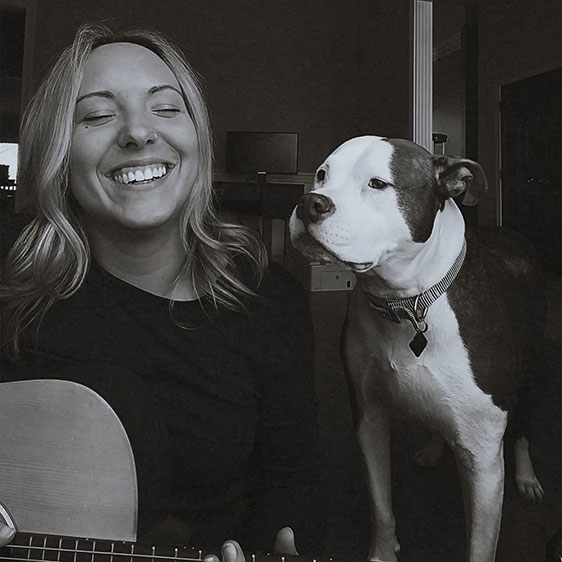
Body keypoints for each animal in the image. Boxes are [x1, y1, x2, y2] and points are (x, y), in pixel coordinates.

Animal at [288, 137, 544, 560]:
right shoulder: (369, 418)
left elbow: (480, 544)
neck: (407, 303)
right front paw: (382, 552)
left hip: (532, 377)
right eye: (322, 174)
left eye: (378, 184)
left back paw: (527, 476)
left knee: (523, 429)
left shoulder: (483, 456)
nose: (310, 203)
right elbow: (381, 506)